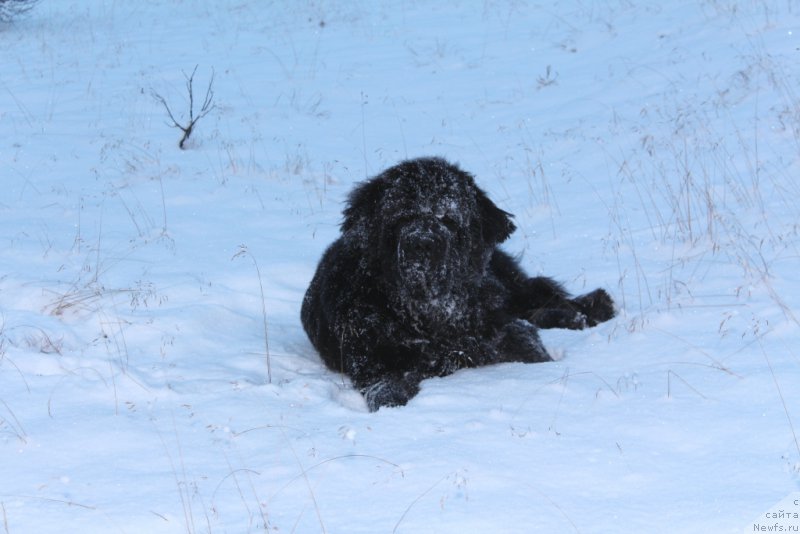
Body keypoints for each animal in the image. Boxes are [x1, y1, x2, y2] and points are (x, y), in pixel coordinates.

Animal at [300, 157, 612, 412]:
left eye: (448, 219)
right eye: (402, 216)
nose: (422, 243)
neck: (427, 316)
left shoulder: (500, 331)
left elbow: (524, 343)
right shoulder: (372, 358)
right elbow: (385, 387)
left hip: (504, 283)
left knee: (538, 294)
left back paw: (591, 308)